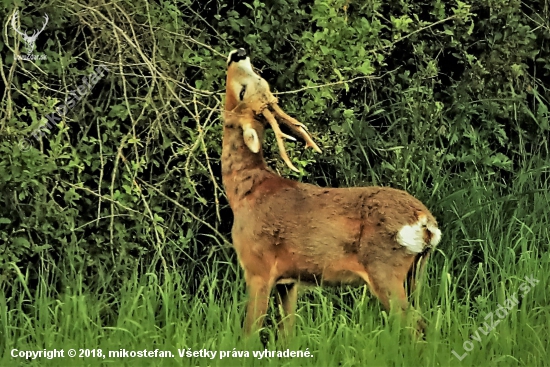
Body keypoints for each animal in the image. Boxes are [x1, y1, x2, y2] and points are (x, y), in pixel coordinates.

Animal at [222, 49, 442, 340]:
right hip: (417, 271)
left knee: (413, 328)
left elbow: (249, 333)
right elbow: (286, 333)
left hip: (385, 268)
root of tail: (426, 222)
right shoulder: (288, 281)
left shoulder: (257, 266)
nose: (239, 53)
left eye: (244, 90)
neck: (246, 192)